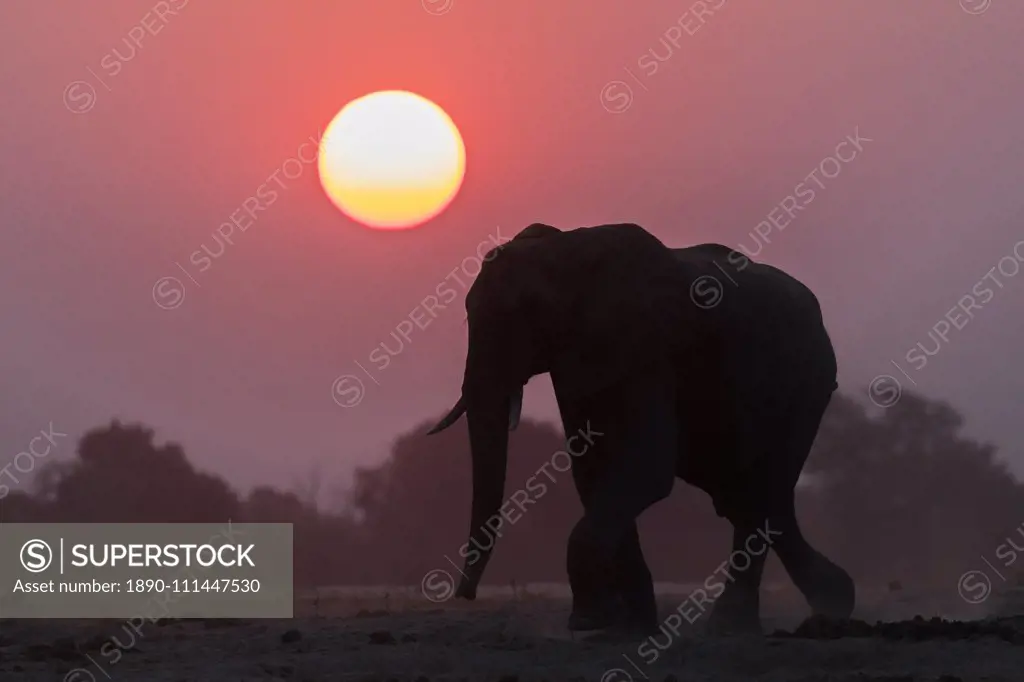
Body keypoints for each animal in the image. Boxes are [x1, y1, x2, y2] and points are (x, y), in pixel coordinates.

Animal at [425, 222, 856, 630]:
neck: (566, 249)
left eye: (530, 310)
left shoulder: (648, 347)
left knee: (761, 489)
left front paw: (588, 623)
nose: (464, 595)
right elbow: (593, 472)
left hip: (807, 386)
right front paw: (625, 629)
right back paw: (832, 603)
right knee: (751, 496)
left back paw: (739, 626)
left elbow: (646, 469)